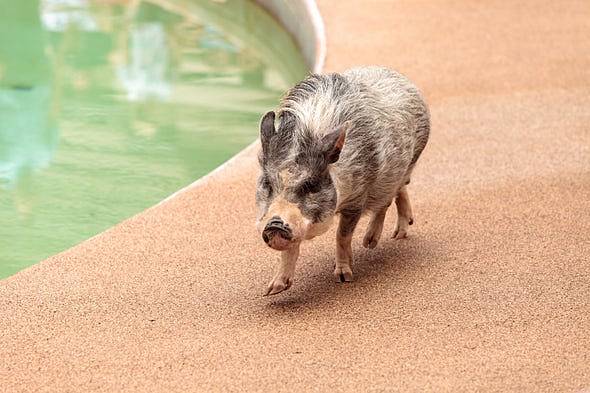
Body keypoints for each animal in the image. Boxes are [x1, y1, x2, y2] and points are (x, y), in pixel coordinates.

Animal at [254, 66, 430, 294]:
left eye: (311, 184)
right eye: (267, 183)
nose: (274, 224)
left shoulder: (358, 198)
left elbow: (342, 235)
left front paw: (344, 278)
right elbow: (290, 248)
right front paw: (272, 290)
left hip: (406, 164)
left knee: (387, 199)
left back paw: (373, 242)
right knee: (398, 192)